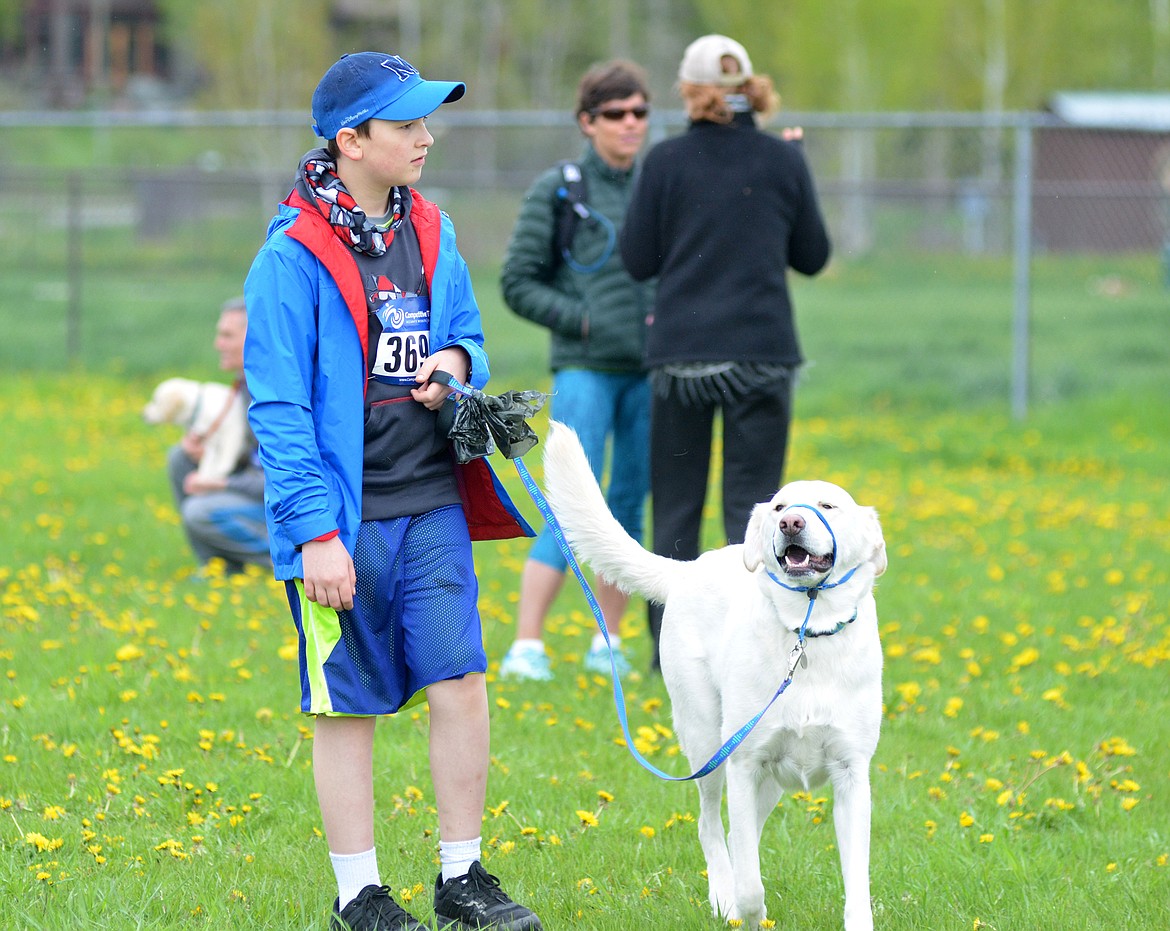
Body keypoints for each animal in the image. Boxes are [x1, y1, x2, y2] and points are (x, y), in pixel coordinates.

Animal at [538, 423, 884, 931]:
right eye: (779, 507)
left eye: (827, 506)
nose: (790, 524)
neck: (807, 632)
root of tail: (688, 569)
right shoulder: (744, 763)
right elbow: (751, 883)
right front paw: (743, 909)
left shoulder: (851, 776)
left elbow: (856, 883)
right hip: (707, 743)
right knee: (711, 826)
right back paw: (723, 897)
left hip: (761, 778)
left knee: (743, 834)